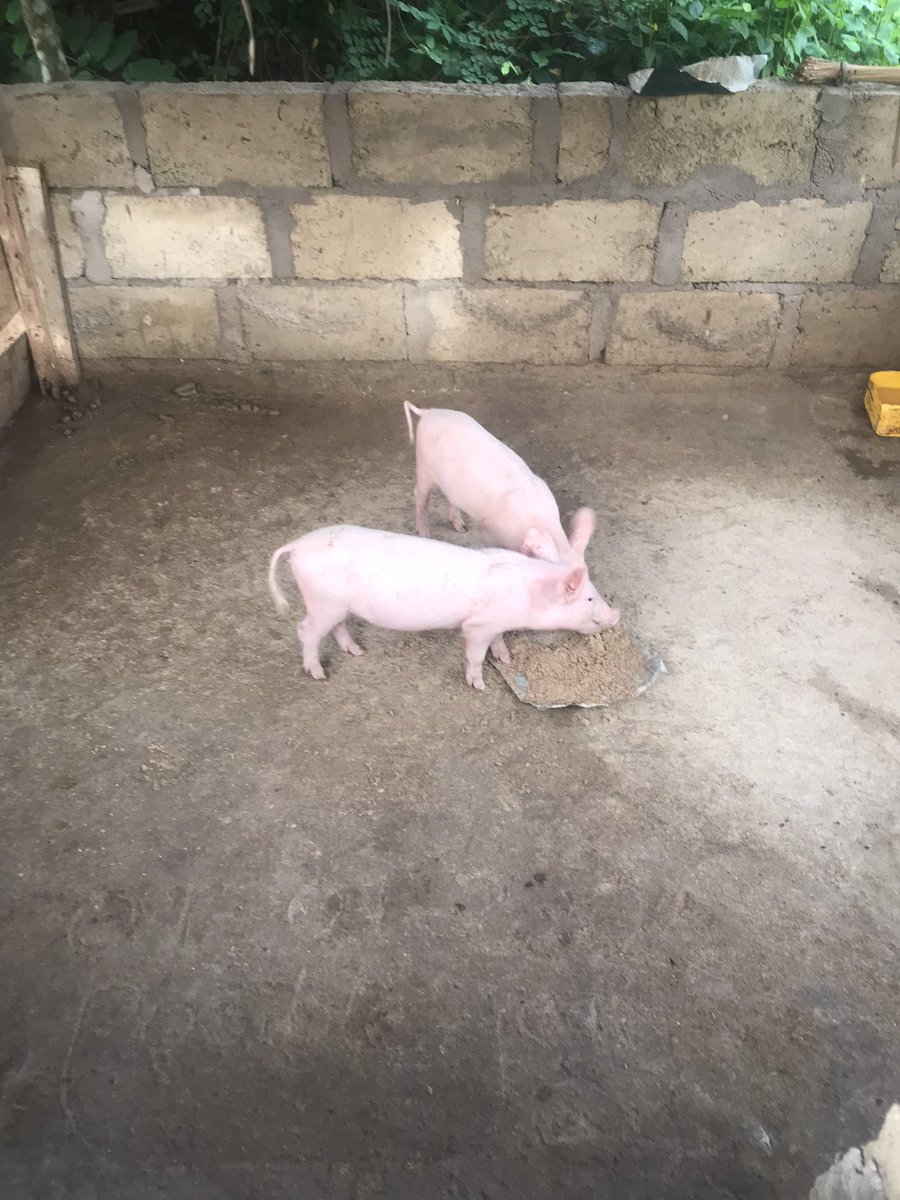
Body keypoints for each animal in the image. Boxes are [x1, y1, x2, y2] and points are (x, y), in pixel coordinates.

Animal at [267, 525, 620, 689]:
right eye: (589, 598)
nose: (616, 615)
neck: (526, 592)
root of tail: (296, 545)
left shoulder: (496, 623)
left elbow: (499, 641)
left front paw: (506, 657)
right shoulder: (477, 625)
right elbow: (475, 655)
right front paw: (479, 685)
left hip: (336, 606)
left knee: (336, 627)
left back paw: (356, 651)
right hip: (322, 602)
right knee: (305, 630)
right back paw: (318, 674)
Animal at [404, 402, 595, 566]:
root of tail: (428, 413)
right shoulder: (490, 530)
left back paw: (462, 528)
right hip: (424, 466)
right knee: (419, 496)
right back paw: (426, 535)